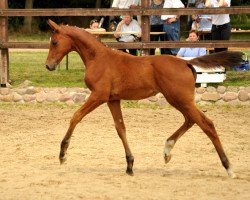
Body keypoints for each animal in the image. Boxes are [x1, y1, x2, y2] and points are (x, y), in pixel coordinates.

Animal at [45, 19, 242, 177]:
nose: (48, 65)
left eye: (54, 42)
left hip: (179, 99)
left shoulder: (98, 95)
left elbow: (76, 116)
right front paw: (130, 165)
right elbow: (120, 128)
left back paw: (229, 167)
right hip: (178, 100)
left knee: (206, 124)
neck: (98, 58)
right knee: (190, 120)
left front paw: (62, 154)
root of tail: (186, 62)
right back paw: (167, 150)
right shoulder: (112, 99)